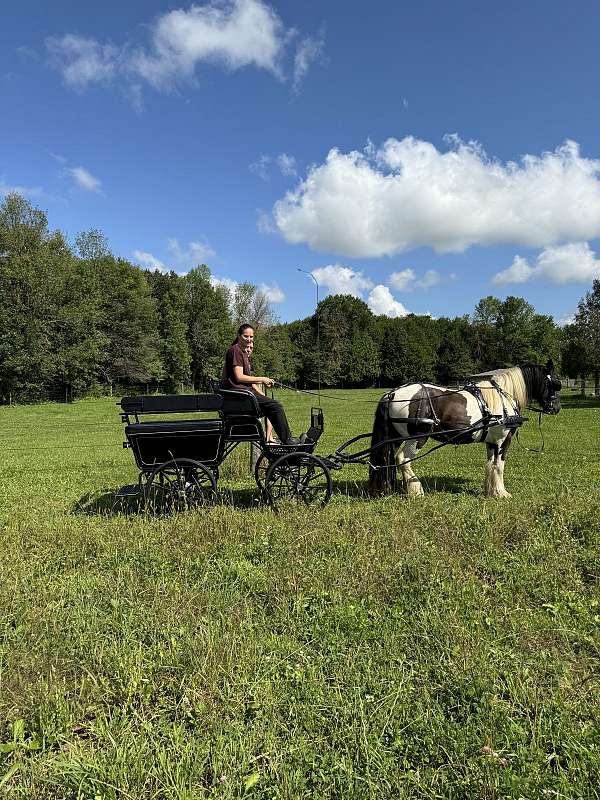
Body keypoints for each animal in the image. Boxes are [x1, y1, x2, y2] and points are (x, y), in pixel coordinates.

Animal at [368, 360, 560, 496]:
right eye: (554, 384)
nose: (556, 408)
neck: (504, 397)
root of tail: (392, 393)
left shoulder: (491, 441)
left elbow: (490, 465)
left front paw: (489, 491)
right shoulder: (502, 440)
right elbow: (499, 466)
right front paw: (501, 492)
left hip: (394, 438)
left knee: (387, 460)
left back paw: (387, 488)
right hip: (417, 438)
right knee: (402, 459)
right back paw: (416, 490)